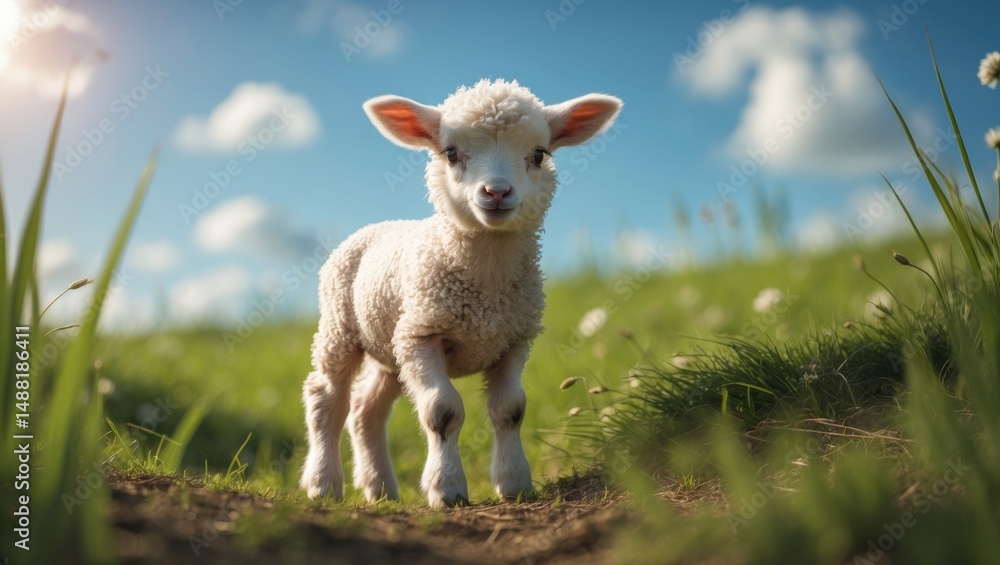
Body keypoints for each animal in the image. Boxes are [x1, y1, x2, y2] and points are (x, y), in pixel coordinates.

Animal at [300, 79, 622, 508]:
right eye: (451, 153)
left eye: (539, 154)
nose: (497, 192)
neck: (486, 287)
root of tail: (376, 226)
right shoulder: (423, 335)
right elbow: (442, 411)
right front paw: (447, 489)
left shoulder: (513, 339)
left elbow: (511, 409)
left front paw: (515, 483)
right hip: (340, 326)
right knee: (326, 398)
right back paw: (323, 484)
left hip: (391, 347)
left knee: (366, 410)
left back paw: (381, 489)